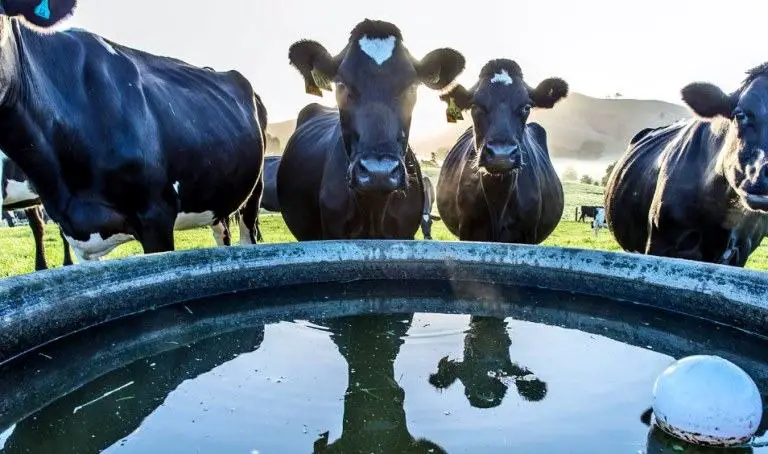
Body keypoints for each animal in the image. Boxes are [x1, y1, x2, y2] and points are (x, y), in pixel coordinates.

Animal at [435, 59, 568, 243]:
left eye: (526, 107)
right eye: (475, 105)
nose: (501, 155)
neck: (498, 202)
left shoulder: (527, 235)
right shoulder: (468, 232)